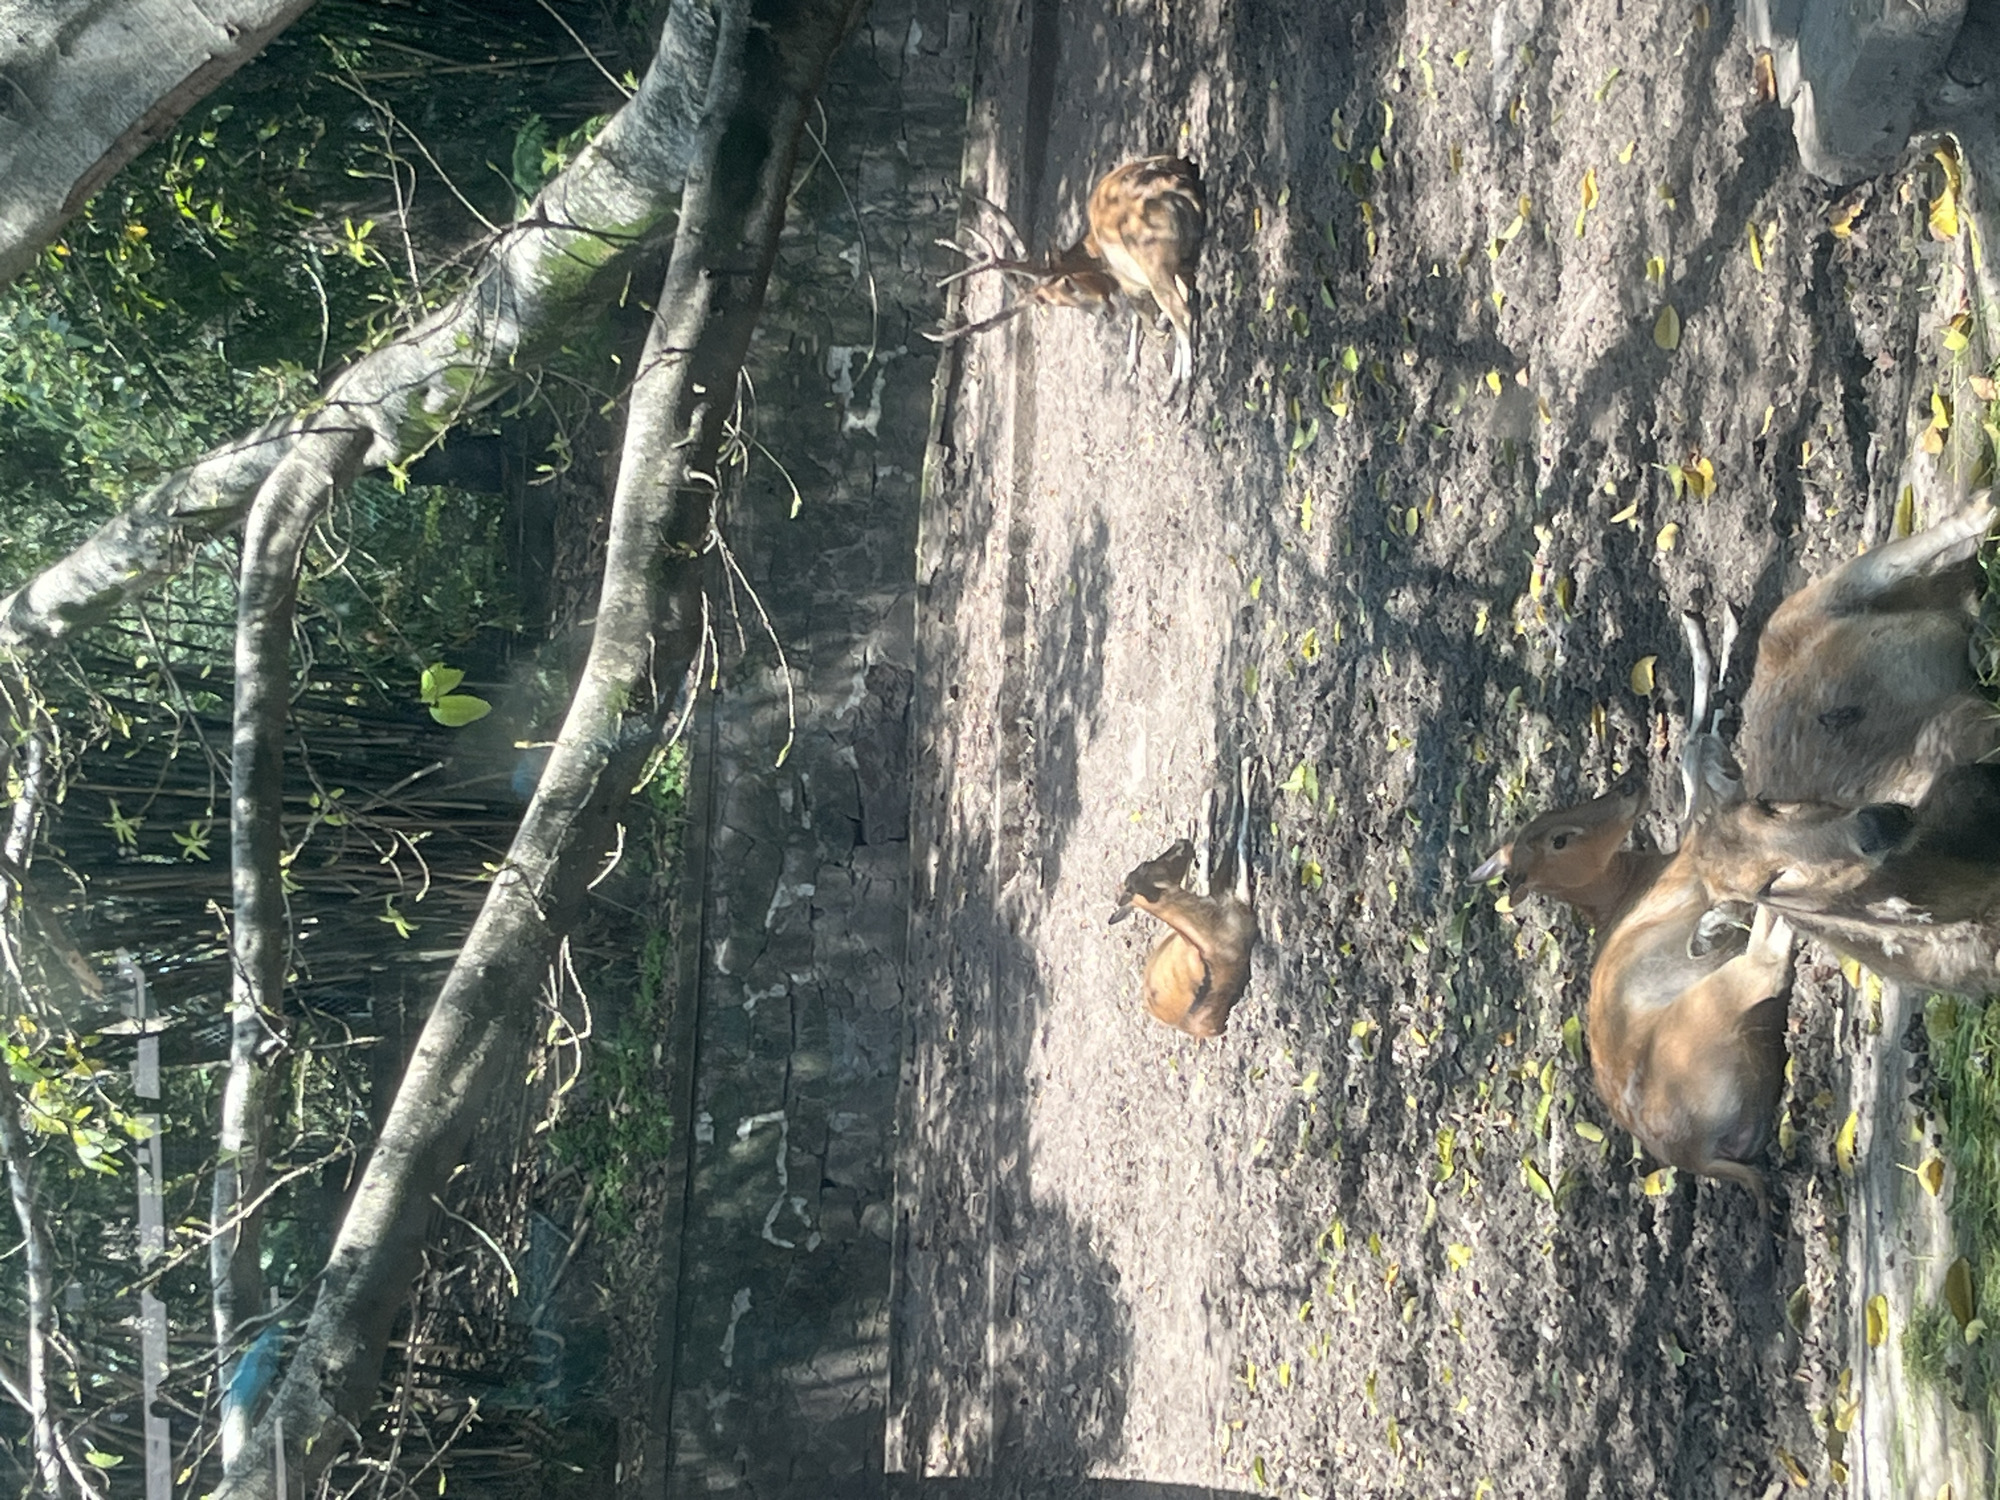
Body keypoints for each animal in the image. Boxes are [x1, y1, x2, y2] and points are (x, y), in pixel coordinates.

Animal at [931, 156, 1206, 402]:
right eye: (1054, 301)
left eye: (1068, 284)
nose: (1104, 313)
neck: (1096, 251)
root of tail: (1169, 186)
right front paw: (1137, 366)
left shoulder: (1129, 281)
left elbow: (1145, 319)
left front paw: (1140, 363)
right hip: (1181, 255)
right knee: (1188, 302)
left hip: (1153, 261)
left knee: (1181, 312)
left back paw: (1183, 390)